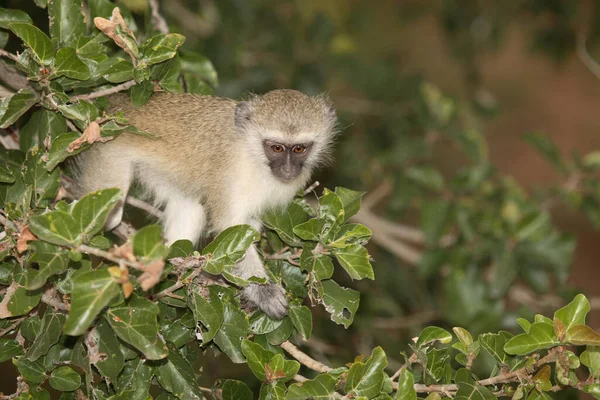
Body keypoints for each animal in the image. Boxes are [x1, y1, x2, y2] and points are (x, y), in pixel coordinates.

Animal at [74, 90, 338, 318]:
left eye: (299, 149)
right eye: (276, 148)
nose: (288, 170)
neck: (252, 154)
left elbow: (248, 227)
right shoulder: (229, 173)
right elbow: (231, 228)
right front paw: (263, 292)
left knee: (191, 204)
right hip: (107, 155)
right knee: (109, 216)